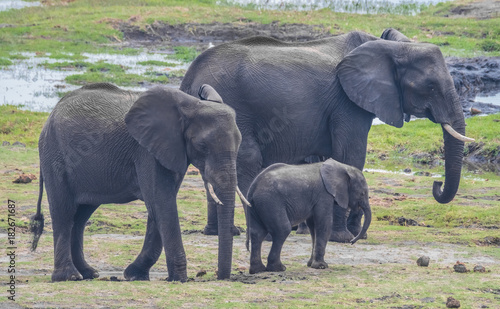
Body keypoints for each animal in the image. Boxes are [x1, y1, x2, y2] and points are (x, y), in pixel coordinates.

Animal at [30, 82, 242, 282]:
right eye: (202, 145)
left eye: (239, 142)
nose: (220, 277)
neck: (190, 105)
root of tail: (51, 114)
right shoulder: (146, 151)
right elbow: (161, 203)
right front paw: (179, 278)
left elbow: (159, 206)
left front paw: (135, 275)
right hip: (55, 155)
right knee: (64, 212)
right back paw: (69, 277)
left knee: (81, 216)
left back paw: (89, 273)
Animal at [180, 27, 472, 242]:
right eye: (430, 86)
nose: (436, 185)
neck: (391, 47)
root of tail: (190, 75)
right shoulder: (346, 101)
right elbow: (350, 156)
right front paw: (342, 237)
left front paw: (349, 232)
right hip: (234, 105)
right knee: (247, 160)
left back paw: (222, 232)